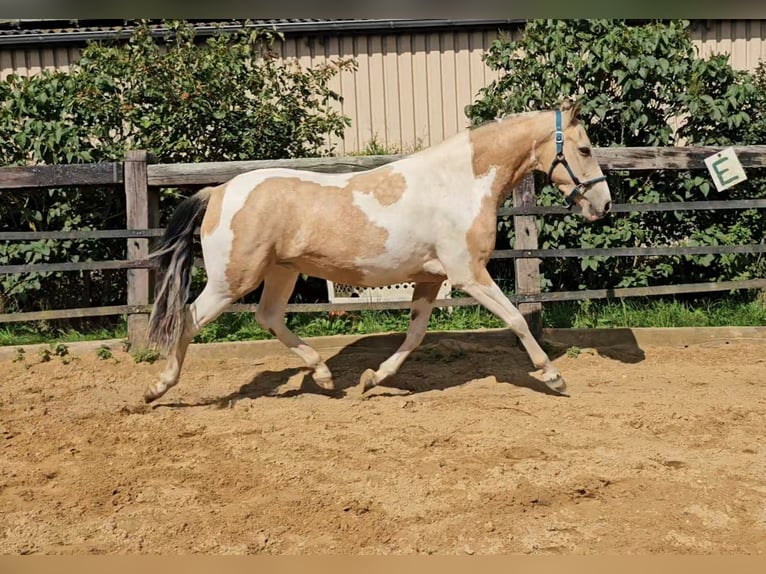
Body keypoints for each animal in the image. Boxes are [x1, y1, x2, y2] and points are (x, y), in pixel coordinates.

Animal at [142, 98, 612, 404]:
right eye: (585, 148)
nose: (604, 205)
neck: (458, 183)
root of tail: (219, 191)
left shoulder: (431, 278)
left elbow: (416, 334)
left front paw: (372, 379)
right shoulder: (468, 274)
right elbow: (516, 318)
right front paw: (553, 377)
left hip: (281, 271)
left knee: (268, 317)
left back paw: (326, 377)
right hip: (232, 280)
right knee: (188, 318)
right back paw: (157, 388)